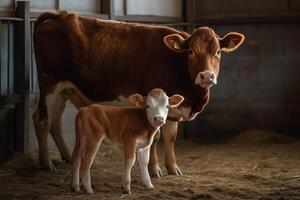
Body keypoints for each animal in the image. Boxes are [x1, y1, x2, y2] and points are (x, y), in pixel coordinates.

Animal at [32, 11, 245, 177]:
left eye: (218, 52)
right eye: (191, 51)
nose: (206, 76)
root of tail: (61, 15)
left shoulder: (173, 108)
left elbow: (171, 137)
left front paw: (173, 168)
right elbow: (156, 138)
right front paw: (154, 169)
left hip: (65, 90)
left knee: (55, 122)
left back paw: (67, 157)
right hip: (49, 85)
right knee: (42, 120)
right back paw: (46, 163)